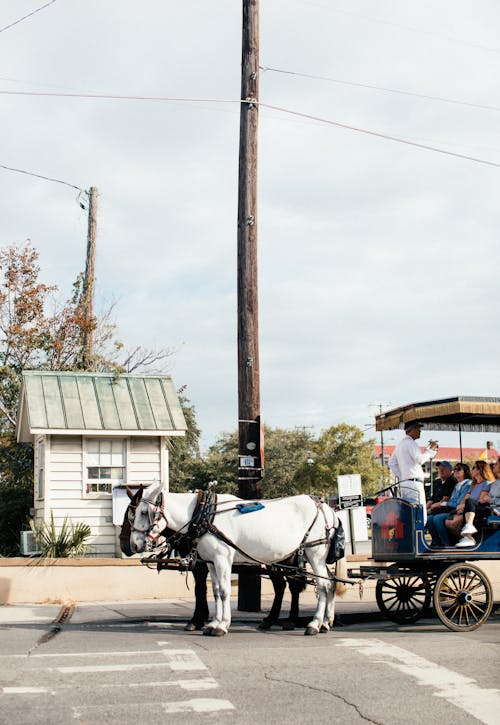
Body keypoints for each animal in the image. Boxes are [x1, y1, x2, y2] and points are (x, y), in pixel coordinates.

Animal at [126, 484, 344, 636]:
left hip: (314, 552)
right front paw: (213, 623)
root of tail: (327, 509)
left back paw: (314, 624)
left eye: (143, 513)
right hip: (312, 557)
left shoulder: (222, 559)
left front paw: (222, 626)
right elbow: (215, 592)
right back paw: (326, 623)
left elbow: (224, 591)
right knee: (330, 582)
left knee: (322, 586)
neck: (203, 514)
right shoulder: (211, 562)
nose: (134, 545)